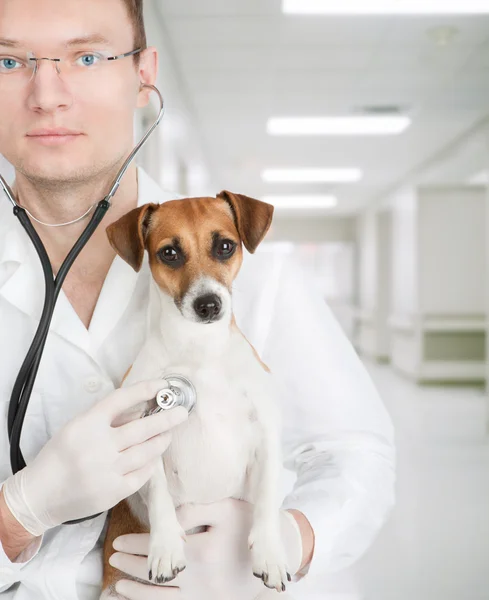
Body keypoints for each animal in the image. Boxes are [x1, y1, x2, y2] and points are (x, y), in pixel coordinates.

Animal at [98, 191, 290, 596]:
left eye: (225, 246)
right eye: (170, 253)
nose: (208, 305)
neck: (199, 351)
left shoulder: (266, 435)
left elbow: (266, 497)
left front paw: (270, 552)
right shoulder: (145, 434)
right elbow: (158, 495)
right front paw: (165, 547)